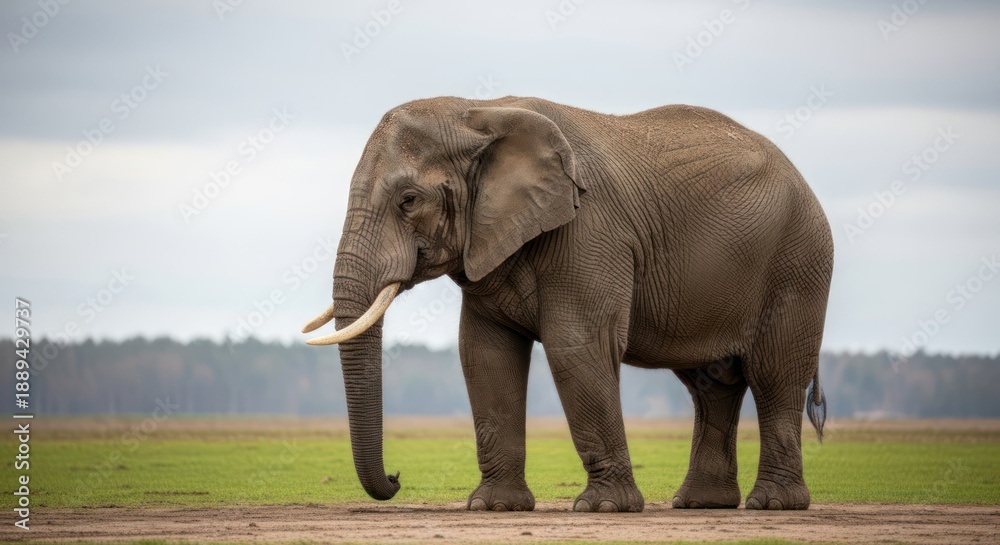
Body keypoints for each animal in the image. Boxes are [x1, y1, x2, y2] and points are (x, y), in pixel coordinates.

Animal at [302, 96, 832, 513]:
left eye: (409, 200)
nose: (396, 478)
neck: (477, 112)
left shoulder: (589, 229)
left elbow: (576, 346)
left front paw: (603, 509)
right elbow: (484, 355)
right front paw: (494, 508)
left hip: (798, 262)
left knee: (774, 374)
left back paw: (774, 504)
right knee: (712, 384)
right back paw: (701, 504)